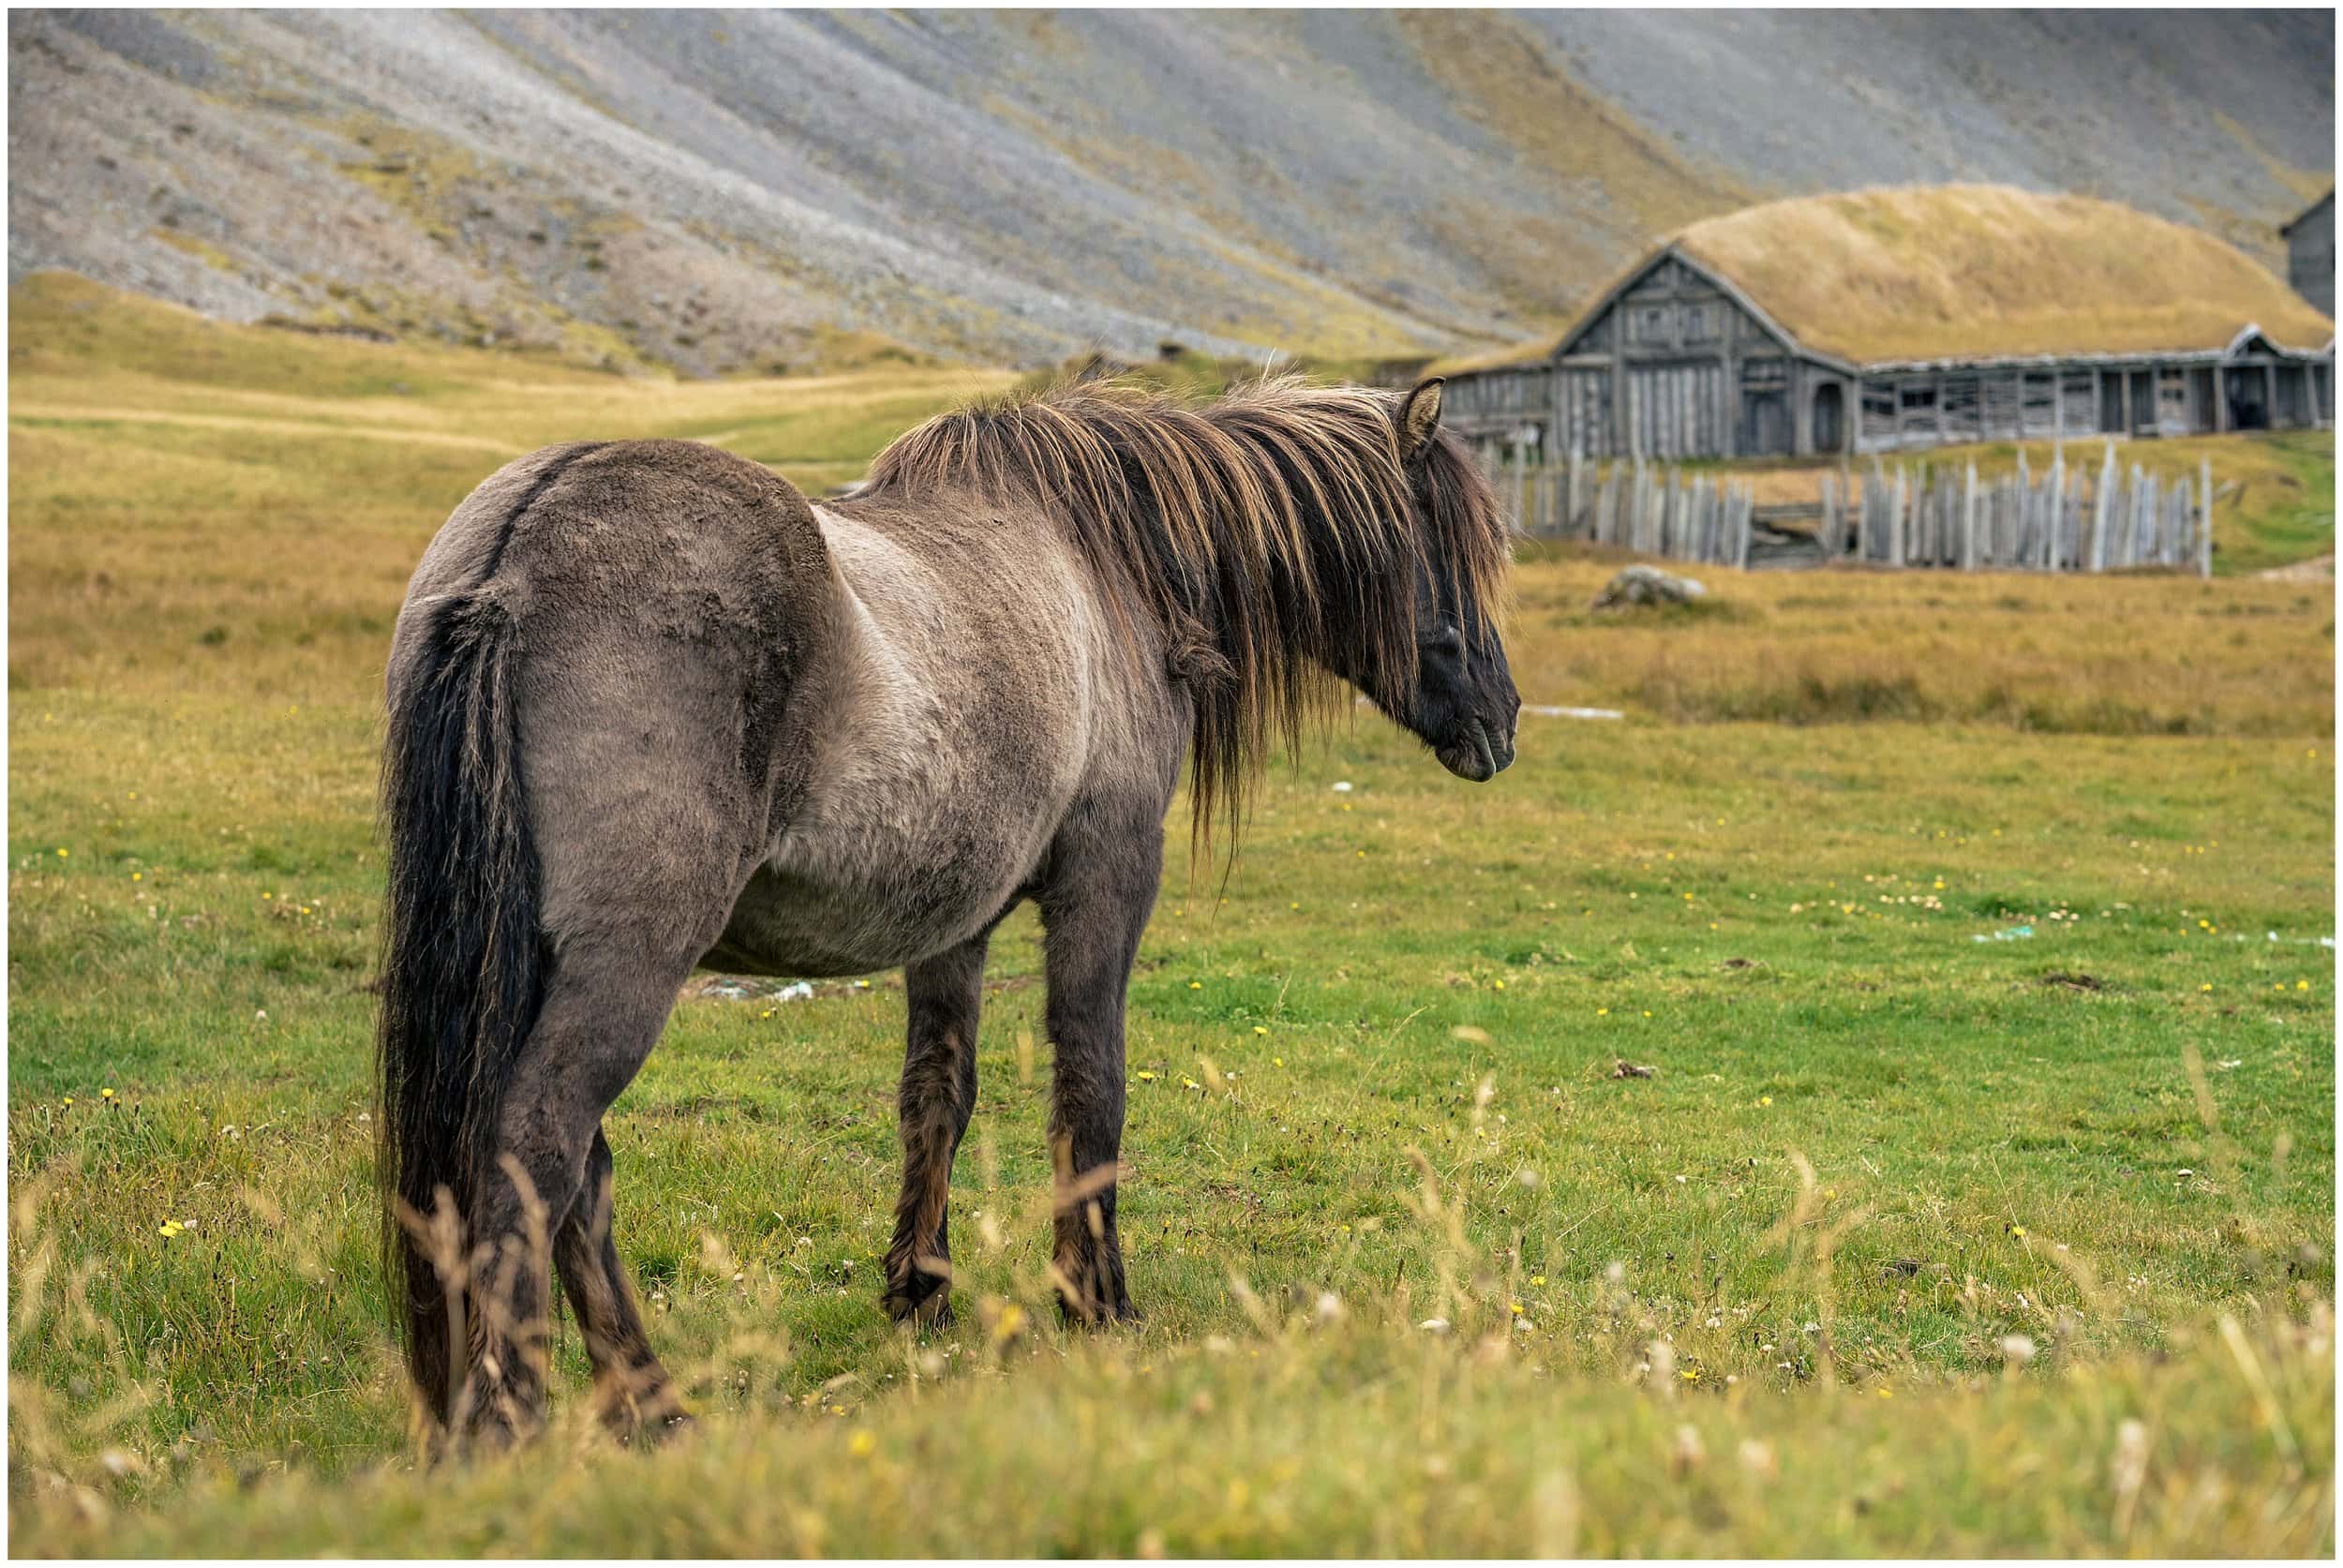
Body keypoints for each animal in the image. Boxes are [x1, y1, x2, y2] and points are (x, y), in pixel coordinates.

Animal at [380, 370, 1518, 1443]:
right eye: (1449, 549)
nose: (1502, 723)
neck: (1107, 569)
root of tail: (514, 554)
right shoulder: (1107, 878)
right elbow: (1091, 1083)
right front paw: (1096, 1299)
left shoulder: (954, 920)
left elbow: (939, 1089)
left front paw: (918, 1288)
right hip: (629, 959)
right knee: (542, 1149)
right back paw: (522, 1421)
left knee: (580, 1179)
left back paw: (652, 1411)